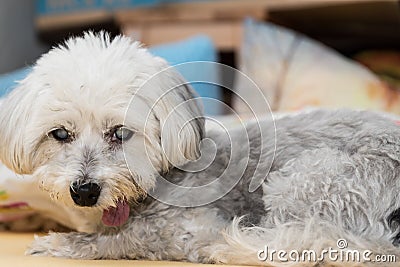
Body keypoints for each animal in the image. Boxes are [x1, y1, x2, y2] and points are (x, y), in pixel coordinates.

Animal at [0, 32, 400, 266]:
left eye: (120, 133)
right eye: (60, 134)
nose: (84, 191)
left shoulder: (191, 228)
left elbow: (125, 237)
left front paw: (60, 242)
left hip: (306, 178)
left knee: (301, 237)